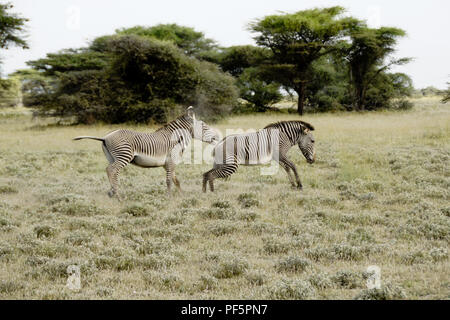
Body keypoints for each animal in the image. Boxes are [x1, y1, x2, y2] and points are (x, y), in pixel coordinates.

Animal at [74, 106, 219, 199]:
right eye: (204, 126)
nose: (217, 137)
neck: (176, 139)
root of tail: (105, 137)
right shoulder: (171, 161)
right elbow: (169, 181)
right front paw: (169, 198)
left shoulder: (168, 164)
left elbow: (176, 180)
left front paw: (181, 196)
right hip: (124, 155)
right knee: (111, 170)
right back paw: (117, 196)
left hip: (112, 157)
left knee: (112, 171)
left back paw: (112, 193)